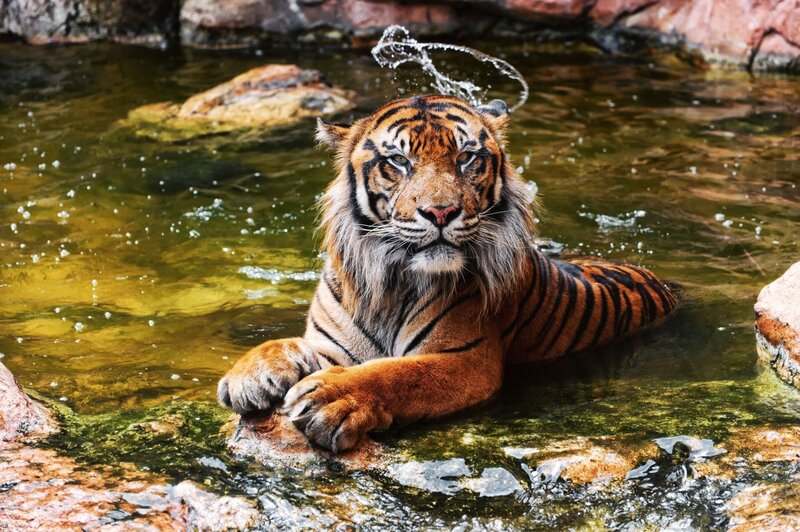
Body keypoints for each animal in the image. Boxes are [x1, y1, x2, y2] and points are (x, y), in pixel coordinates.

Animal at [217, 95, 677, 453]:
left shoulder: (467, 359)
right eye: (399, 161)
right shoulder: (329, 345)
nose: (440, 212)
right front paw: (249, 375)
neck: (391, 283)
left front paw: (330, 398)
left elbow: (397, 373)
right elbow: (284, 344)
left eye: (466, 157)